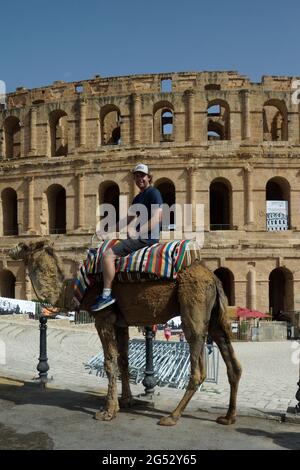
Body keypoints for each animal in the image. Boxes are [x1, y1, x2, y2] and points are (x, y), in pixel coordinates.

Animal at [9, 241, 243, 428]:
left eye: (26, 246)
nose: (11, 250)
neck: (75, 289)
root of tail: (212, 277)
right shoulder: (120, 322)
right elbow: (123, 360)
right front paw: (126, 401)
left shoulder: (103, 317)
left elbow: (109, 362)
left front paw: (108, 411)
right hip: (215, 316)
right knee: (233, 363)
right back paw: (228, 417)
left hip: (193, 306)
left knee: (198, 366)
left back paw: (172, 416)